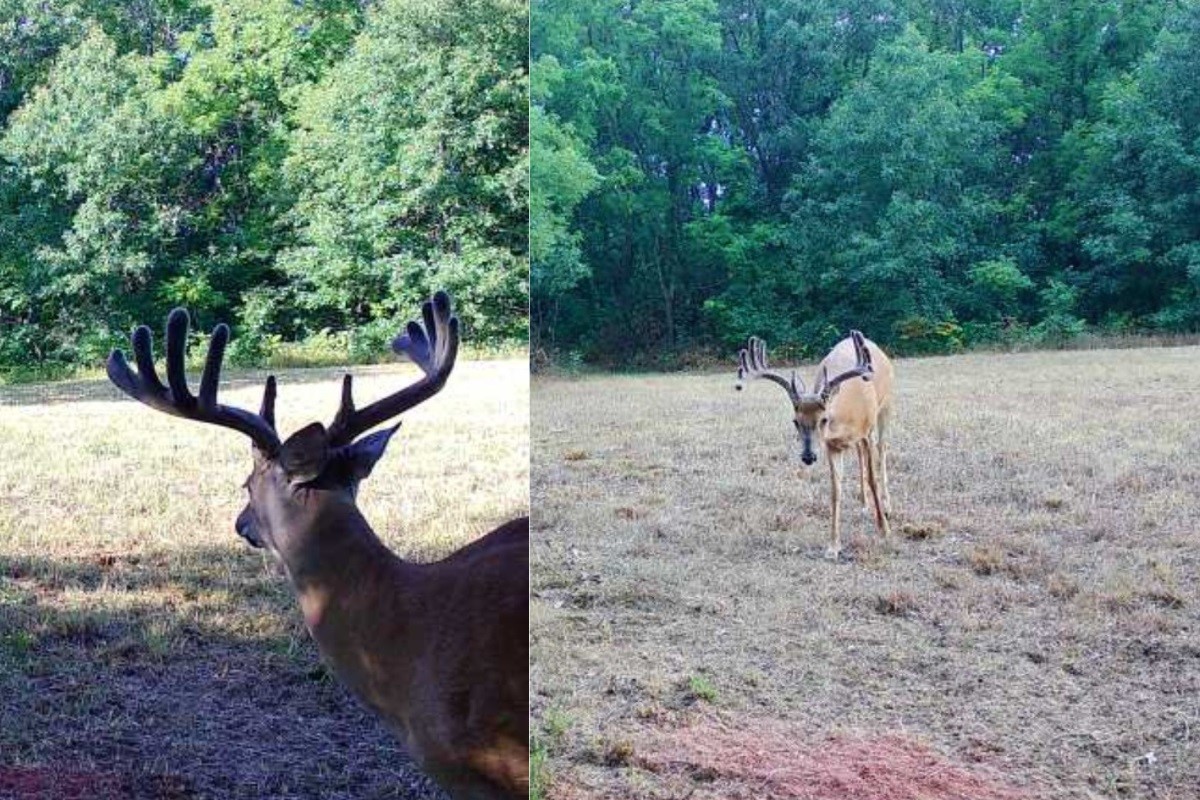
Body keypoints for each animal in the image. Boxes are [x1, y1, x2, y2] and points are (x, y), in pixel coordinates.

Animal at [734, 335, 897, 561]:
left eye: (824, 419)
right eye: (795, 421)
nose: (808, 456)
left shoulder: (866, 430)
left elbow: (873, 480)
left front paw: (884, 530)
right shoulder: (831, 446)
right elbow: (835, 491)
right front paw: (833, 546)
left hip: (885, 409)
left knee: (881, 449)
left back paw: (887, 506)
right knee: (860, 455)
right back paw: (864, 505)